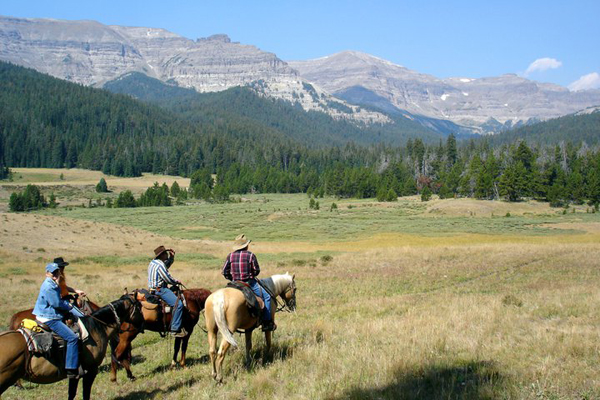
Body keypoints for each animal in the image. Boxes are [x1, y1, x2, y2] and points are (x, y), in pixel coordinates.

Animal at [0, 294, 144, 400]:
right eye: (139, 309)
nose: (142, 325)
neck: (96, 327)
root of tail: (15, 317)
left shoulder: (75, 374)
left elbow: (72, 393)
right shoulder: (91, 370)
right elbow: (85, 393)